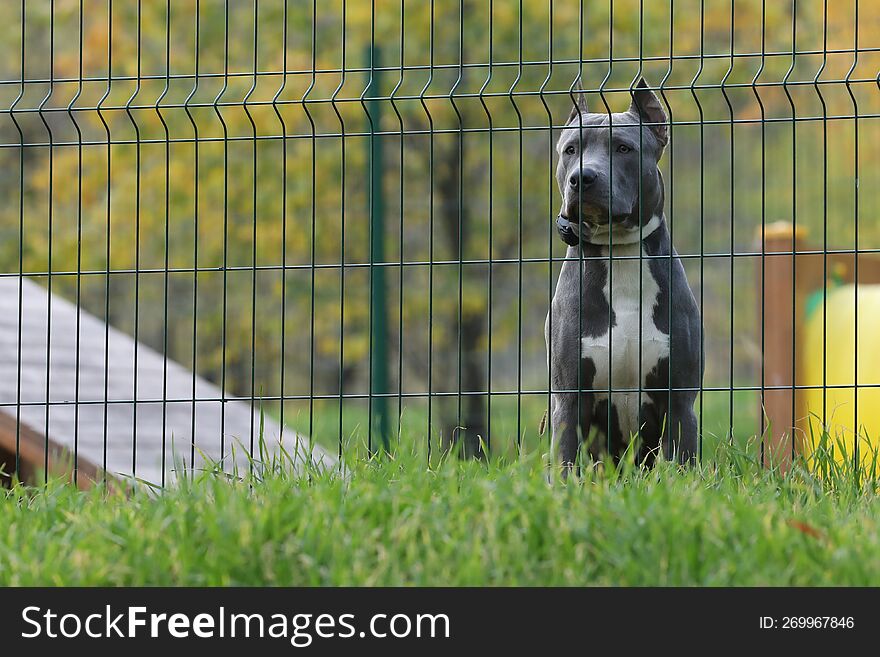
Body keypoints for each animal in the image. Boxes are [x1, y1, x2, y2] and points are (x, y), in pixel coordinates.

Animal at [548, 80, 704, 472]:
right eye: (570, 149)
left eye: (623, 148)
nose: (582, 177)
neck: (620, 254)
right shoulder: (570, 400)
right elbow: (565, 464)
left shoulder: (678, 401)